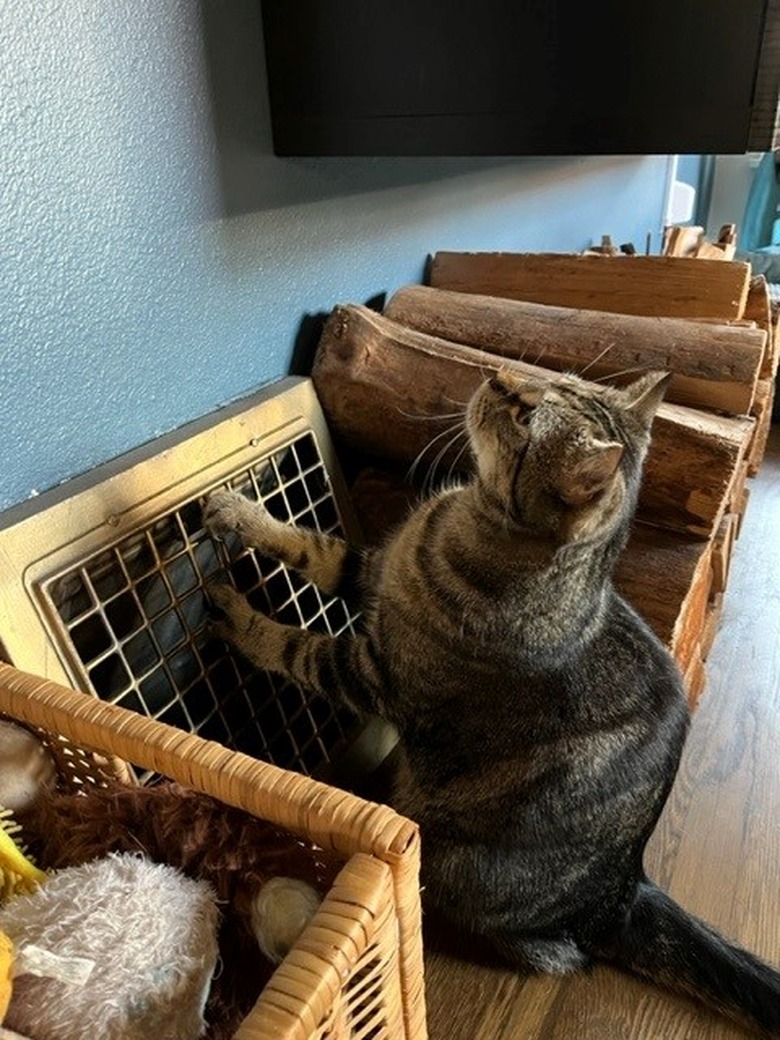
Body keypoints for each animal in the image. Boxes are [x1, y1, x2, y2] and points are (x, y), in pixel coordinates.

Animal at [202, 370, 780, 1035]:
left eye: (529, 412)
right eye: (555, 379)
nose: (500, 376)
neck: (460, 515)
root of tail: (626, 889)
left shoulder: (374, 674)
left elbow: (294, 646)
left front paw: (239, 618)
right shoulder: (373, 568)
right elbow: (312, 547)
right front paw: (240, 512)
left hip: (459, 860)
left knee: (559, 953)